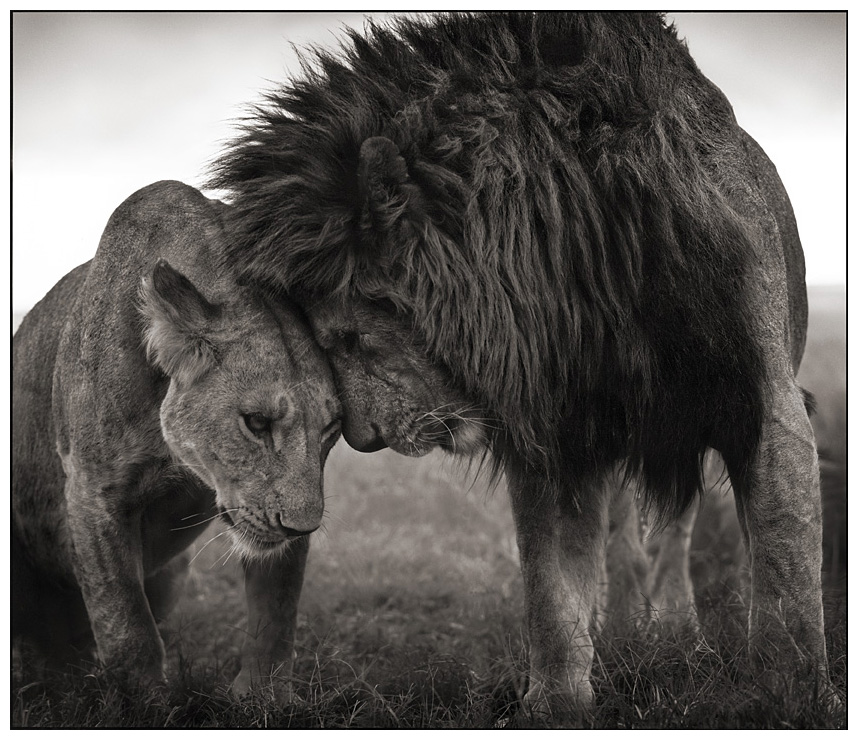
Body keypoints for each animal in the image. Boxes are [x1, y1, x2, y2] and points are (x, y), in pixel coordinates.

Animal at [12, 181, 342, 700]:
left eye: (330, 429)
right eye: (256, 422)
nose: (301, 527)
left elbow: (276, 610)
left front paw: (264, 697)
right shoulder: (92, 489)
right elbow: (125, 621)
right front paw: (143, 702)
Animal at [211, 11, 832, 716]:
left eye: (346, 338)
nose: (364, 440)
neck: (585, 268)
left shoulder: (764, 402)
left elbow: (785, 575)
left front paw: (788, 698)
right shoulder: (554, 431)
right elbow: (552, 587)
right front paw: (558, 703)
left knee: (674, 531)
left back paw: (676, 633)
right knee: (621, 539)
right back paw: (623, 633)